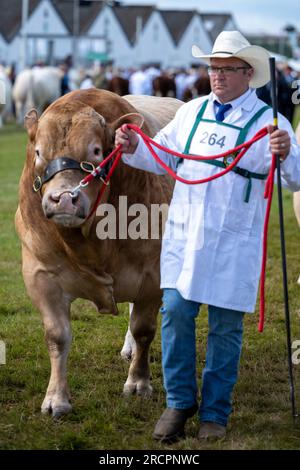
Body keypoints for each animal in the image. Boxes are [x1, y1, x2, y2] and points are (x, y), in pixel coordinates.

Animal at [15, 90, 183, 416]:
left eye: (95, 151)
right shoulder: (40, 273)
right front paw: (56, 399)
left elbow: (144, 329)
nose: (63, 198)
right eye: (39, 152)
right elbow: (57, 336)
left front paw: (138, 383)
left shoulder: (153, 273)